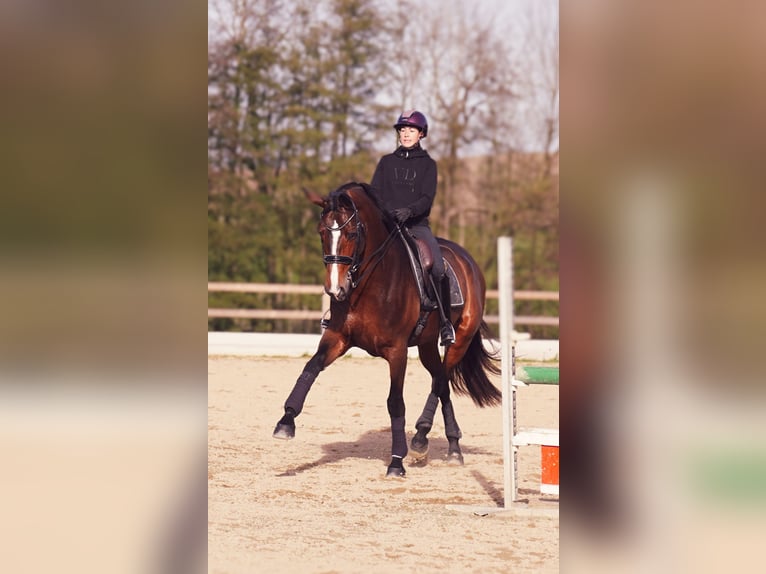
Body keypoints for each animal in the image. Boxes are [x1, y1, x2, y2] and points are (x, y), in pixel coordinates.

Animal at [272, 182, 500, 480]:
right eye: (322, 232)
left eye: (352, 233)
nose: (335, 288)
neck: (371, 282)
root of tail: (467, 260)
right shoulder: (337, 338)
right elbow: (310, 368)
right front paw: (286, 421)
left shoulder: (397, 351)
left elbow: (395, 402)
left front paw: (396, 461)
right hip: (427, 345)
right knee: (441, 381)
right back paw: (446, 446)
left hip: (459, 339)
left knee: (441, 381)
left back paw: (427, 441)